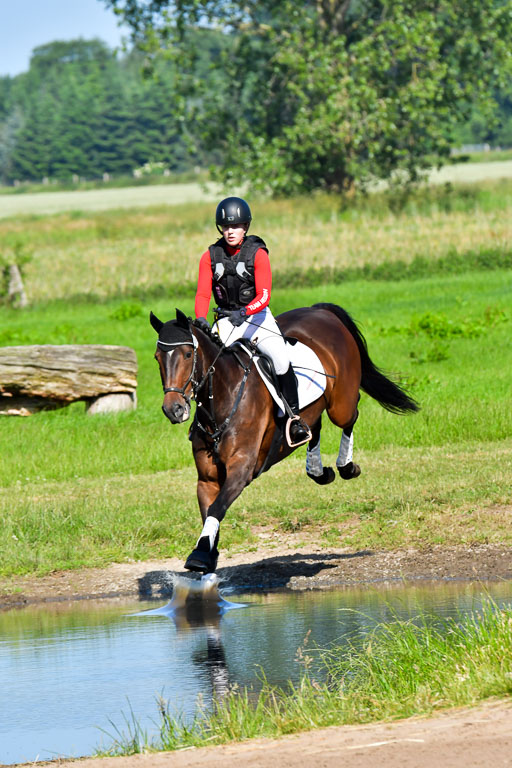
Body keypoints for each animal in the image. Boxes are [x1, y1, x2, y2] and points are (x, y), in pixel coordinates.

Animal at [150, 303, 418, 574]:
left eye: (187, 354)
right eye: (157, 357)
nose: (173, 409)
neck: (224, 397)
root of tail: (318, 310)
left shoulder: (241, 469)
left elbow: (216, 508)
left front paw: (200, 554)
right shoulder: (207, 478)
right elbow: (209, 512)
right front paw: (206, 554)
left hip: (341, 403)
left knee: (350, 417)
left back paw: (346, 466)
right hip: (315, 410)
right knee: (314, 426)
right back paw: (319, 471)